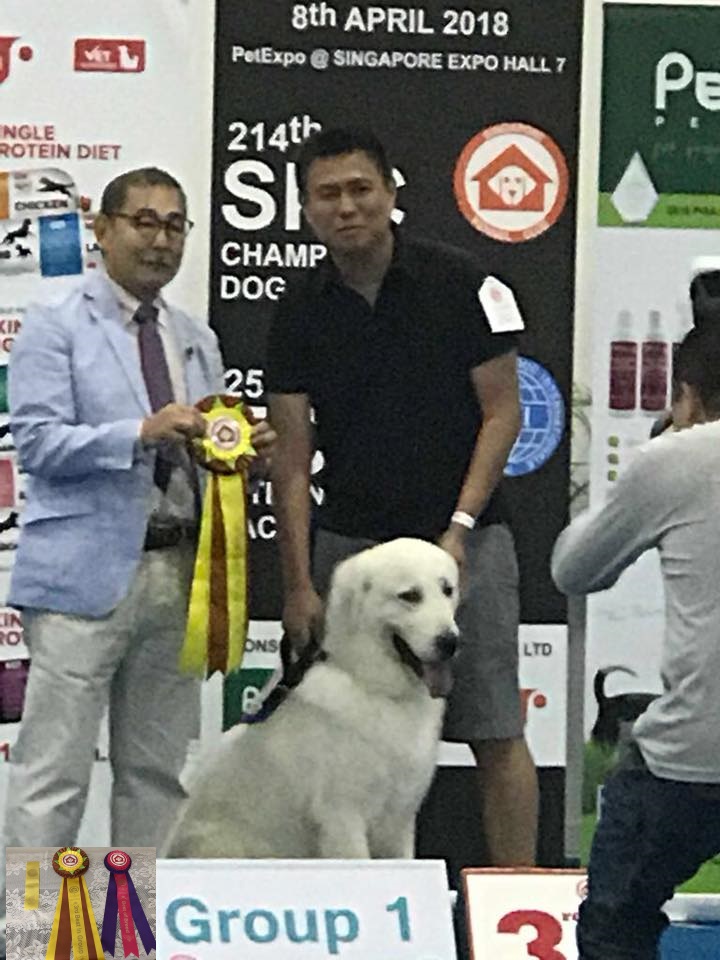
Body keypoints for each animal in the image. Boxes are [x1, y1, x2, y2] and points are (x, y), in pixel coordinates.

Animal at [163, 537, 459, 859]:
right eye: (410, 596)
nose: (450, 641)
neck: (373, 685)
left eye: (447, 590)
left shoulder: (400, 820)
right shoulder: (343, 816)